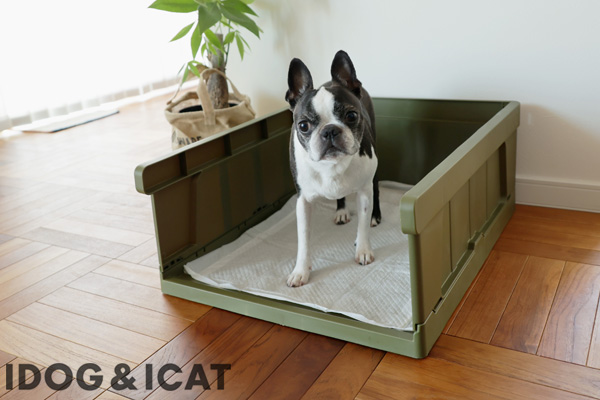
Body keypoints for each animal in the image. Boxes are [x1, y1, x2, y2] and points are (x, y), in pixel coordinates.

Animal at [285, 50, 381, 287]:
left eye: (351, 116)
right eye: (303, 125)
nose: (329, 131)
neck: (332, 165)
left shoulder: (364, 191)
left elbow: (362, 224)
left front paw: (363, 250)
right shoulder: (303, 201)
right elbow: (303, 239)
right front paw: (301, 270)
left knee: (375, 189)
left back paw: (375, 217)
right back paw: (341, 211)